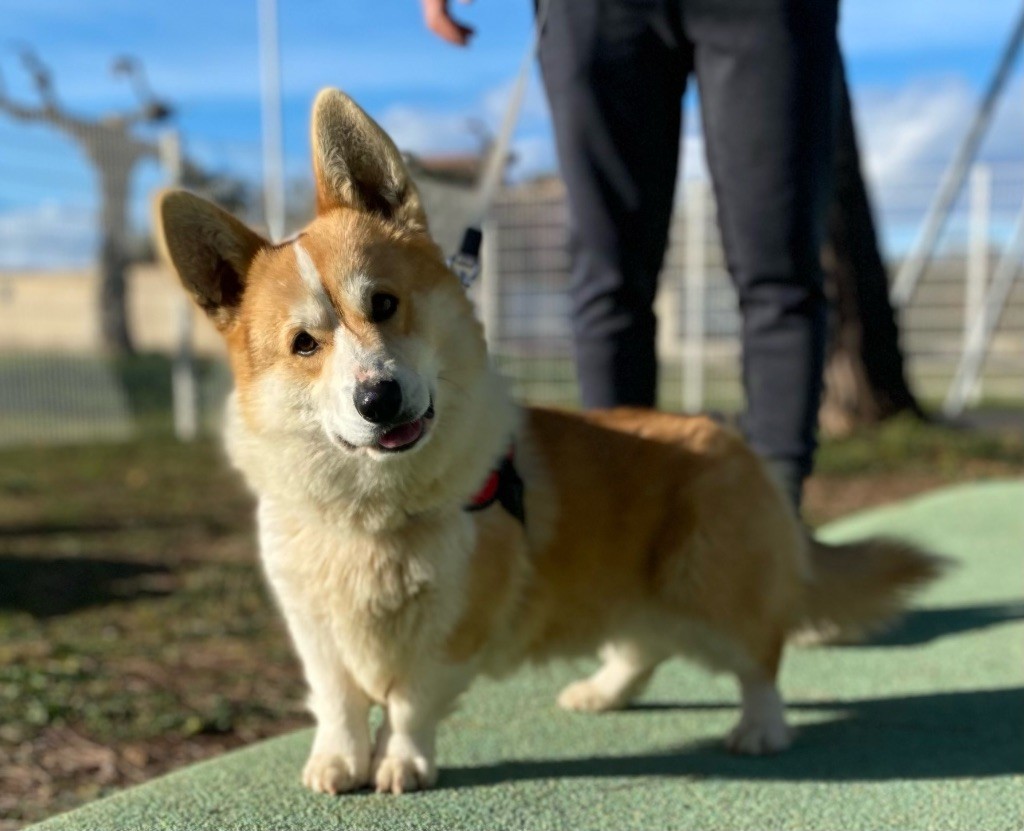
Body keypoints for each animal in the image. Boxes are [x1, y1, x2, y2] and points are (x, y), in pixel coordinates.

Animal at [154, 88, 942, 795]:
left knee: (759, 659)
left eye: (382, 302)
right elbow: (340, 702)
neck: (373, 510)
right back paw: (603, 691)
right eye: (304, 345)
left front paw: (400, 765)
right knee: (644, 643)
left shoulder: (454, 625)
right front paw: (336, 764)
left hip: (712, 584)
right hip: (622, 586)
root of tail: (737, 444)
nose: (378, 400)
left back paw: (760, 727)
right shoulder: (314, 625)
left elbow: (408, 703)